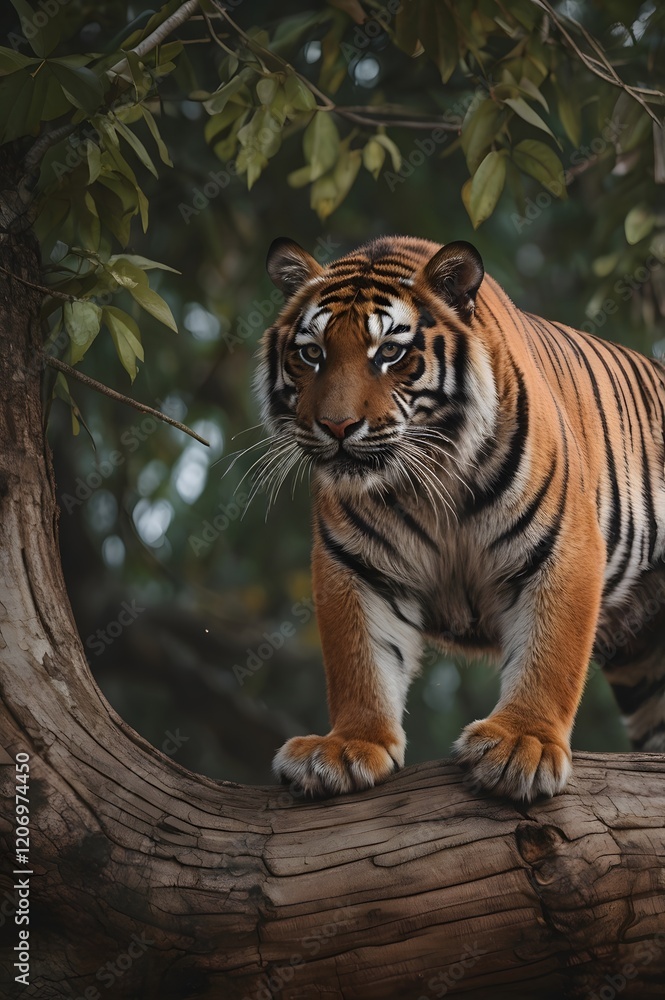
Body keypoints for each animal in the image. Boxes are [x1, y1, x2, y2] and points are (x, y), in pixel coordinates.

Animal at [254, 234, 665, 802]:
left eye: (389, 352)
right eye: (311, 353)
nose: (336, 426)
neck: (431, 476)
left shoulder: (563, 546)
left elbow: (549, 655)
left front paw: (523, 744)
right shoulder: (357, 565)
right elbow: (360, 659)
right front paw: (348, 746)